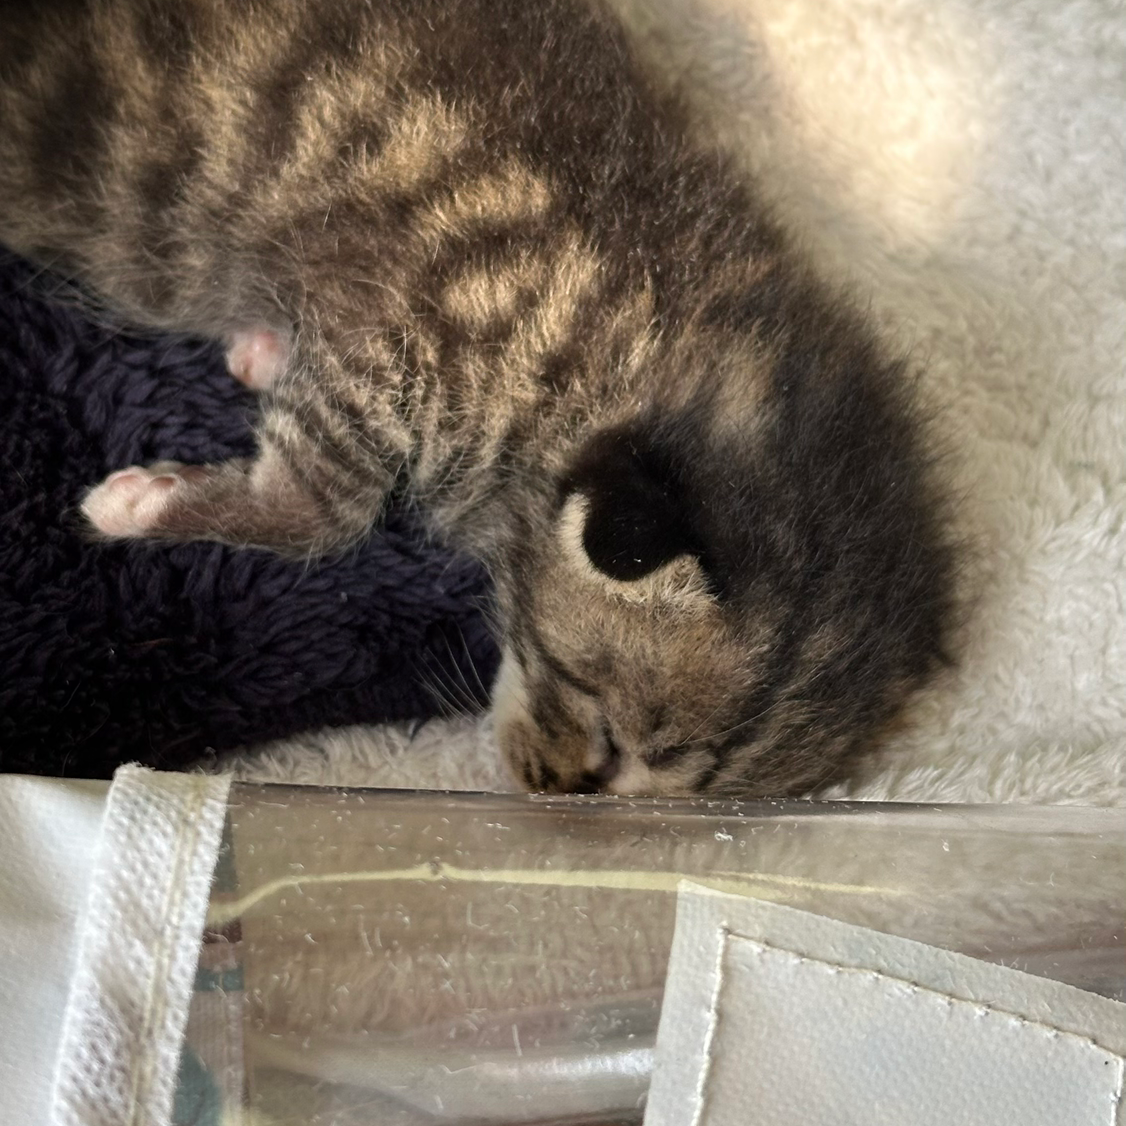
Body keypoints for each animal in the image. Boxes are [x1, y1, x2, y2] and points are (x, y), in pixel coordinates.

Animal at [0, 0, 954, 797]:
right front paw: (142, 503)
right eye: (604, 725)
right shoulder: (393, 312)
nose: (560, 791)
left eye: (659, 799)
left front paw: (259, 352)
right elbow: (327, 509)